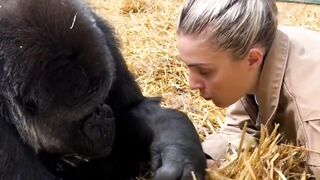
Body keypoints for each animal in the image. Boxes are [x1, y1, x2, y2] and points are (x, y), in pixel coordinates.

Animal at [0, 0, 205, 179]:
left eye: (102, 99)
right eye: (85, 116)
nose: (105, 115)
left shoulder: (100, 30)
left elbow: (135, 109)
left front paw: (179, 153)